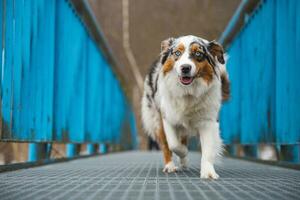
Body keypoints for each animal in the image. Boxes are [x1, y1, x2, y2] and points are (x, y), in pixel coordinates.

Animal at [141, 35, 230, 179]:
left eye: (198, 53)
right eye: (177, 53)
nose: (185, 68)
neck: (188, 93)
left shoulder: (208, 121)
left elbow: (208, 149)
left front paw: (208, 172)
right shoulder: (168, 117)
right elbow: (174, 145)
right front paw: (183, 153)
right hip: (156, 119)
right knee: (166, 145)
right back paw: (170, 166)